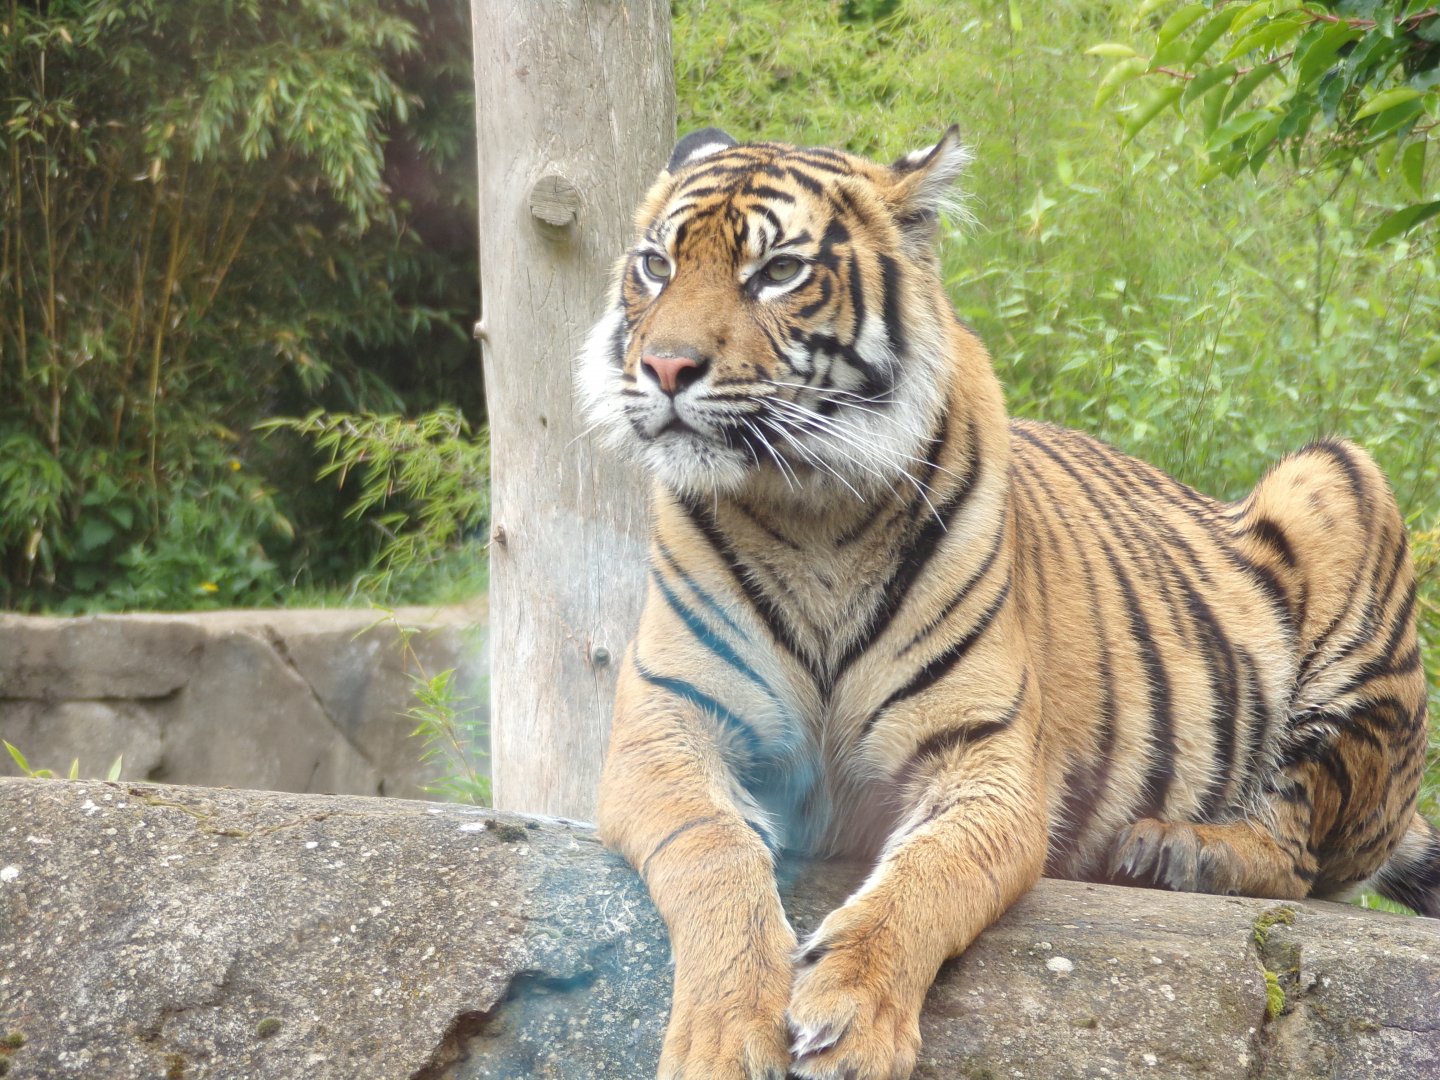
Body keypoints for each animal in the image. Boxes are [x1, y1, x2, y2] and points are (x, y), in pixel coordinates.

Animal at [578, 126, 1439, 1080]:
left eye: (778, 272)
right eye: (656, 266)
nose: (664, 366)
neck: (807, 513)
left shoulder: (984, 755)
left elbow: (929, 876)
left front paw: (850, 1017)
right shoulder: (666, 728)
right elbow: (713, 850)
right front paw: (727, 1031)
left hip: (1338, 479)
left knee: (1299, 858)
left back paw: (1181, 849)